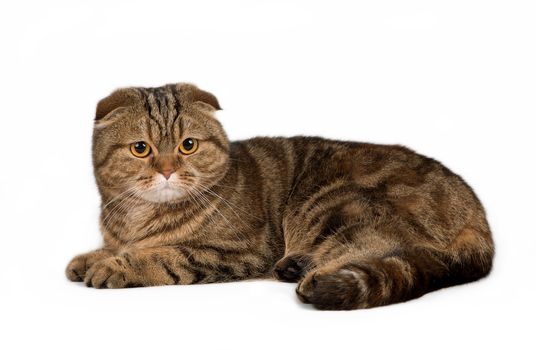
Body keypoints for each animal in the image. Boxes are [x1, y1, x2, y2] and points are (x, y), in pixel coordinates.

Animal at [66, 83, 494, 310]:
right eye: (141, 149)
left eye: (188, 145)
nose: (168, 169)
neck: (137, 218)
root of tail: (476, 212)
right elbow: (111, 247)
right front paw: (90, 258)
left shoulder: (239, 250)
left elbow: (164, 256)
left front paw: (116, 265)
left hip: (334, 204)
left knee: (380, 251)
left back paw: (314, 276)